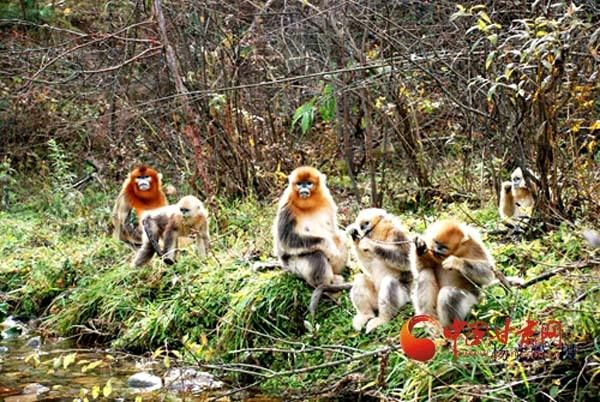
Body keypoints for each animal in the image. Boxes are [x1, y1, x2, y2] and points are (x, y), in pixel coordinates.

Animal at [272, 166, 348, 312]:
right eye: (299, 183)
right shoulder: (287, 208)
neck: (308, 205)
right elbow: (287, 241)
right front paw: (330, 248)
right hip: (294, 267)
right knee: (316, 256)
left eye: (308, 183)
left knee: (341, 237)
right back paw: (326, 288)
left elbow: (335, 232)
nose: (303, 189)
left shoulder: (328, 201)